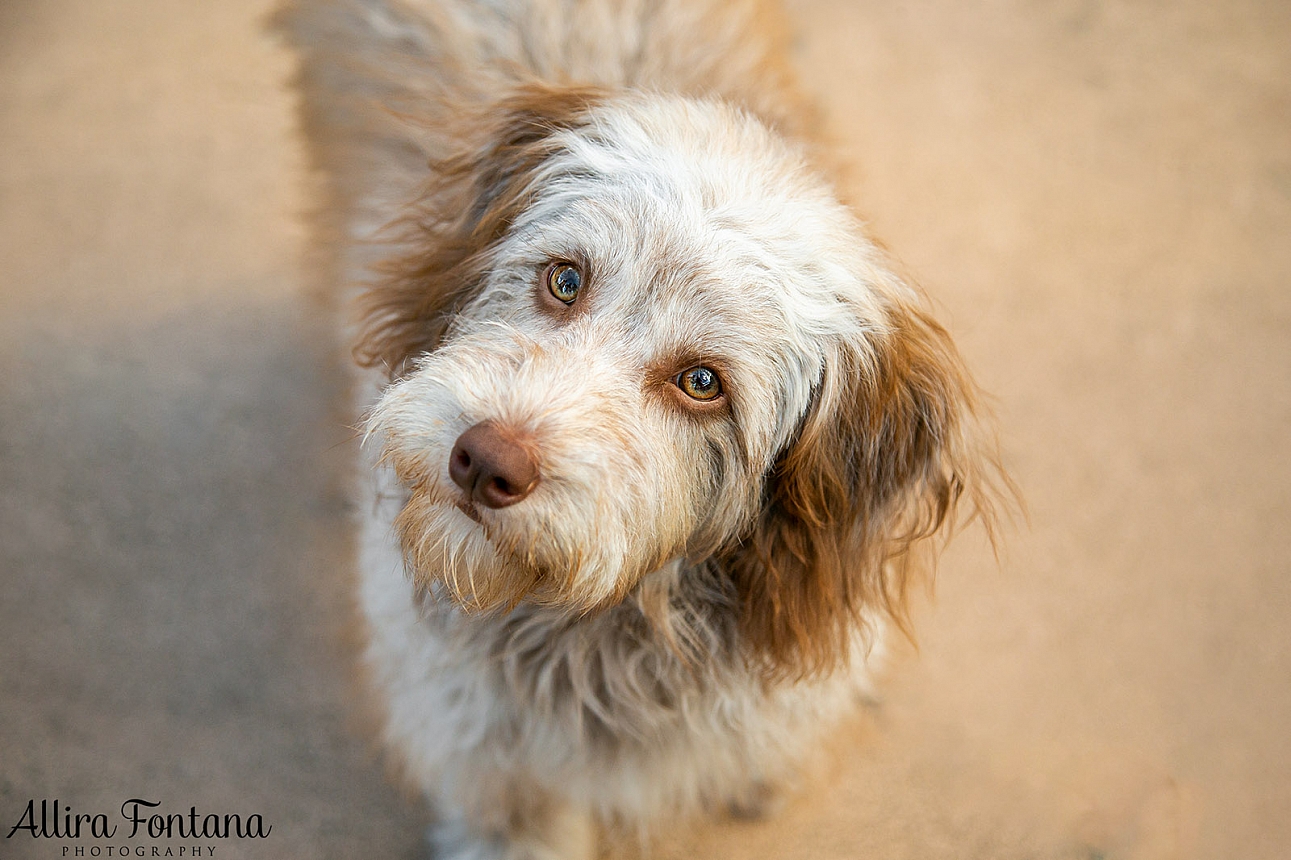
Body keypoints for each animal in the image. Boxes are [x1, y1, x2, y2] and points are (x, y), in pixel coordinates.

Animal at [277, 3, 996, 852]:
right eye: (563, 279)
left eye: (701, 383)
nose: (483, 459)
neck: (608, 637)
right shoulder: (491, 767)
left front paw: (767, 777)